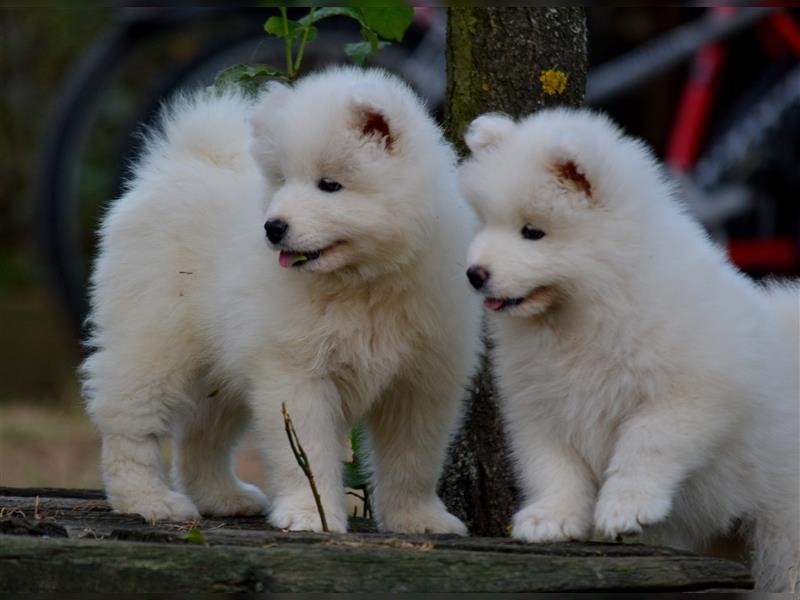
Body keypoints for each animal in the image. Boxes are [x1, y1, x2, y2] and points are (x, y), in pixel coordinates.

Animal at [460, 108, 796, 592]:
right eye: (485, 221)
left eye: (533, 232)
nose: (475, 274)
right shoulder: (540, 401)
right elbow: (551, 462)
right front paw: (551, 518)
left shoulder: (690, 393)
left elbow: (644, 442)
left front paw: (625, 508)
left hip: (782, 517)